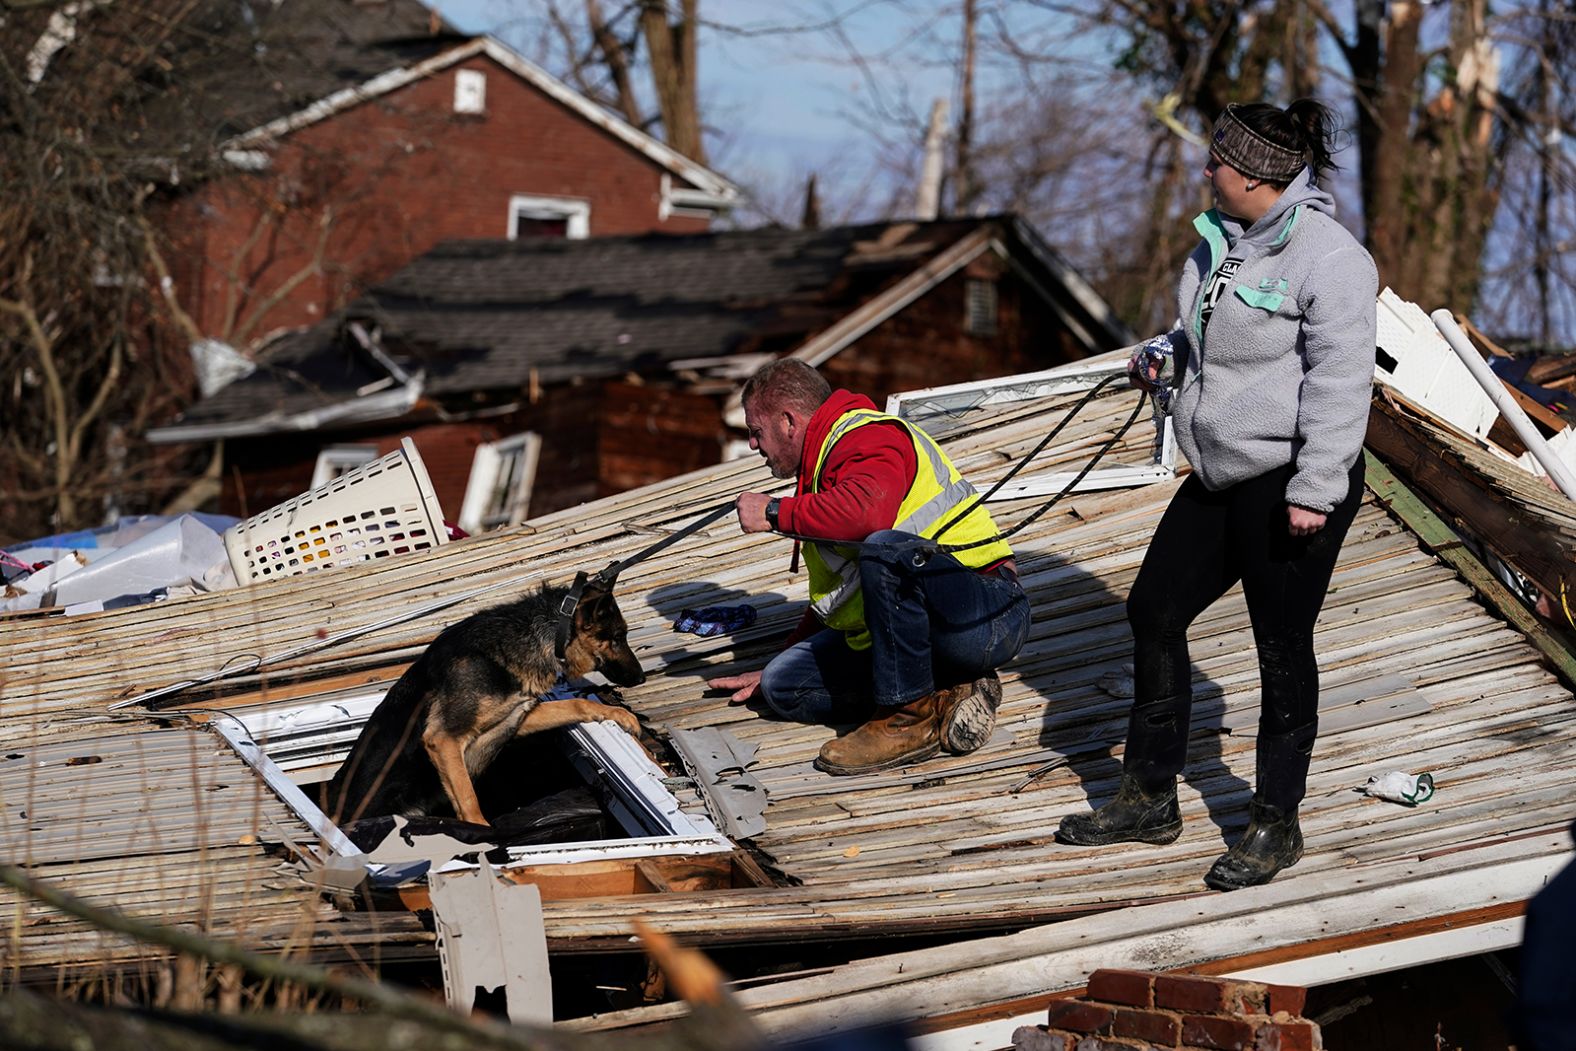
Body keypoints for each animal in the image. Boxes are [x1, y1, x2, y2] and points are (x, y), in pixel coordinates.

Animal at [323, 579, 643, 825]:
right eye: (618, 637)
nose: (641, 678)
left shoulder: (517, 716)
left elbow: (575, 705)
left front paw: (616, 713)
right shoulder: (443, 740)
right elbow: (468, 799)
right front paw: (483, 834)